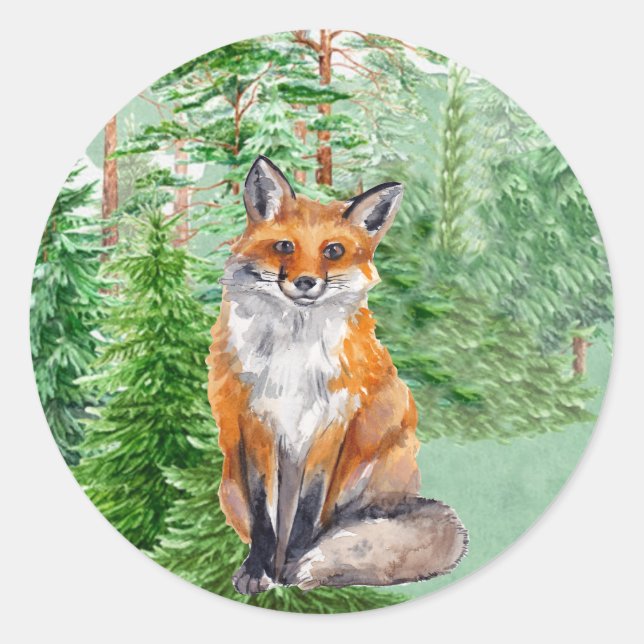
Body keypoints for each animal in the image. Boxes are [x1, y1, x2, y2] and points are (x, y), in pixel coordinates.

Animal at [207, 155, 467, 595]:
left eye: (333, 251)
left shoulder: (331, 425)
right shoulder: (256, 422)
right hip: (230, 487)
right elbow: (264, 513)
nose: (306, 282)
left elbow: (308, 512)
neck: (293, 354)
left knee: (343, 523)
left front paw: (293, 566)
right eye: (285, 246)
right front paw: (260, 569)